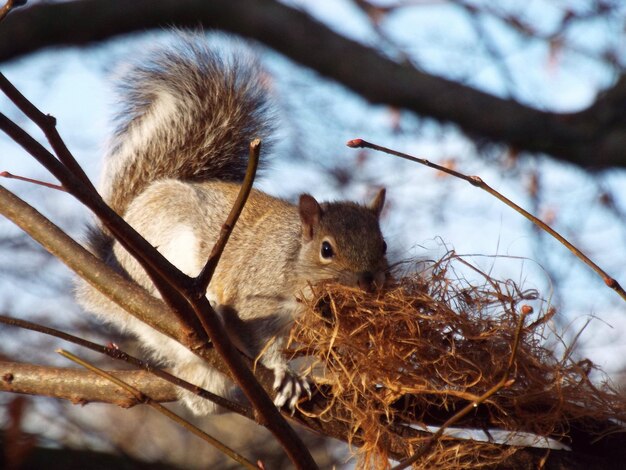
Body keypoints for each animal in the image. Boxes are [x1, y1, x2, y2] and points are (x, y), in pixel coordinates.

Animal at [75, 34, 388, 414]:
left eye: (383, 245)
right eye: (326, 249)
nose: (369, 282)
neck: (293, 257)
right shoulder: (256, 296)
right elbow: (260, 338)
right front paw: (285, 373)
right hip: (159, 248)